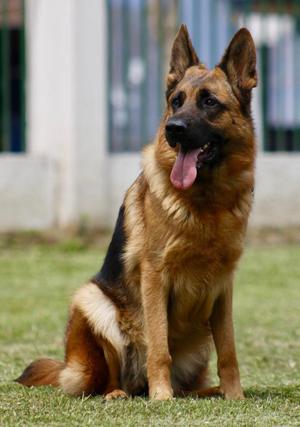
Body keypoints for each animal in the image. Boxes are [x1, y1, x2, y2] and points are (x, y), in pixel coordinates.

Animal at [17, 25, 255, 402]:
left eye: (210, 102)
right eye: (176, 101)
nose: (173, 129)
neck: (207, 203)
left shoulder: (223, 286)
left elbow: (229, 350)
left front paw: (235, 396)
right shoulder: (155, 277)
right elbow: (159, 346)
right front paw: (162, 398)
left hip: (199, 337)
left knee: (188, 382)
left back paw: (204, 391)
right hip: (93, 301)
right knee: (111, 378)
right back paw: (121, 392)